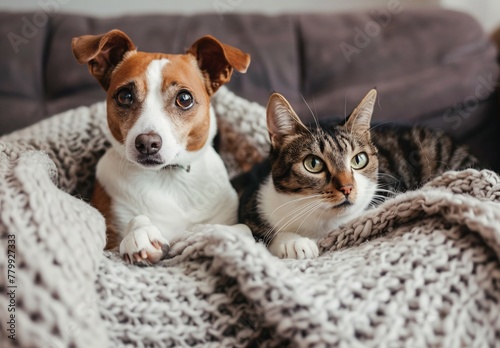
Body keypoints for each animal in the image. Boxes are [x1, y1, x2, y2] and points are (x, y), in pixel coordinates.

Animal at [72, 29, 252, 264]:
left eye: (184, 98)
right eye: (124, 96)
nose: (147, 143)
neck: (168, 176)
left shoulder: (228, 215)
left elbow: (243, 229)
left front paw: (204, 233)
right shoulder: (110, 240)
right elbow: (136, 220)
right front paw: (141, 233)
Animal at [232, 88, 478, 260]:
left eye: (359, 160)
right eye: (313, 164)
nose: (347, 187)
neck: (321, 224)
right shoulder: (251, 202)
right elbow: (255, 231)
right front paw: (293, 242)